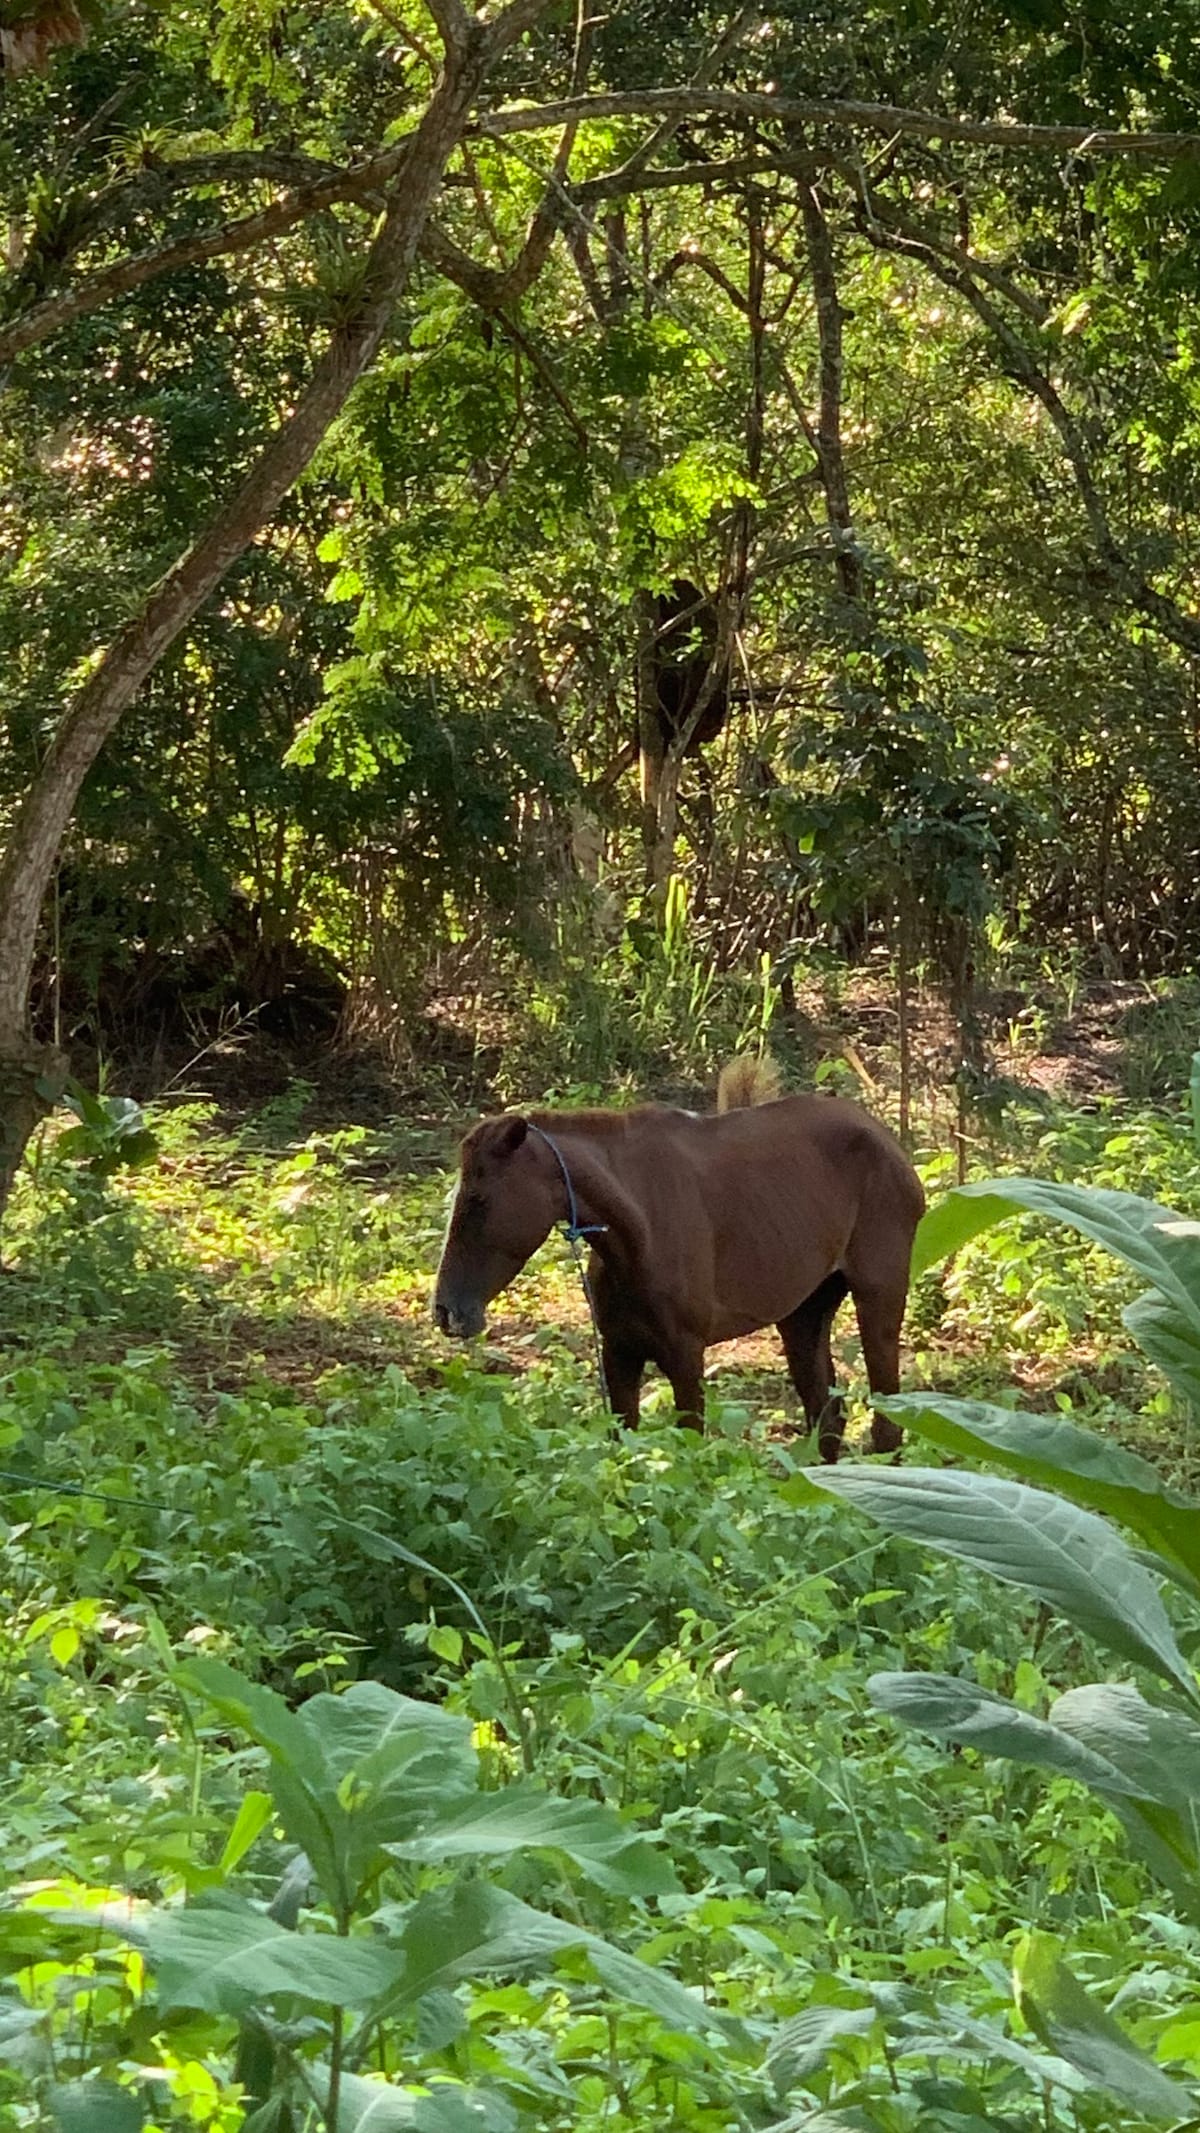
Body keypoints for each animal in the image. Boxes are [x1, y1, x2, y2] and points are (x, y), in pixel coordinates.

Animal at [436, 1057, 925, 1458]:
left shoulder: (686, 1357)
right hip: (803, 1314)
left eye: (478, 1199)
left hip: (878, 1299)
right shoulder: (620, 1355)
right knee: (827, 1420)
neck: (637, 1229)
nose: (446, 1311)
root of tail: (888, 1142)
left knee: (887, 1427)